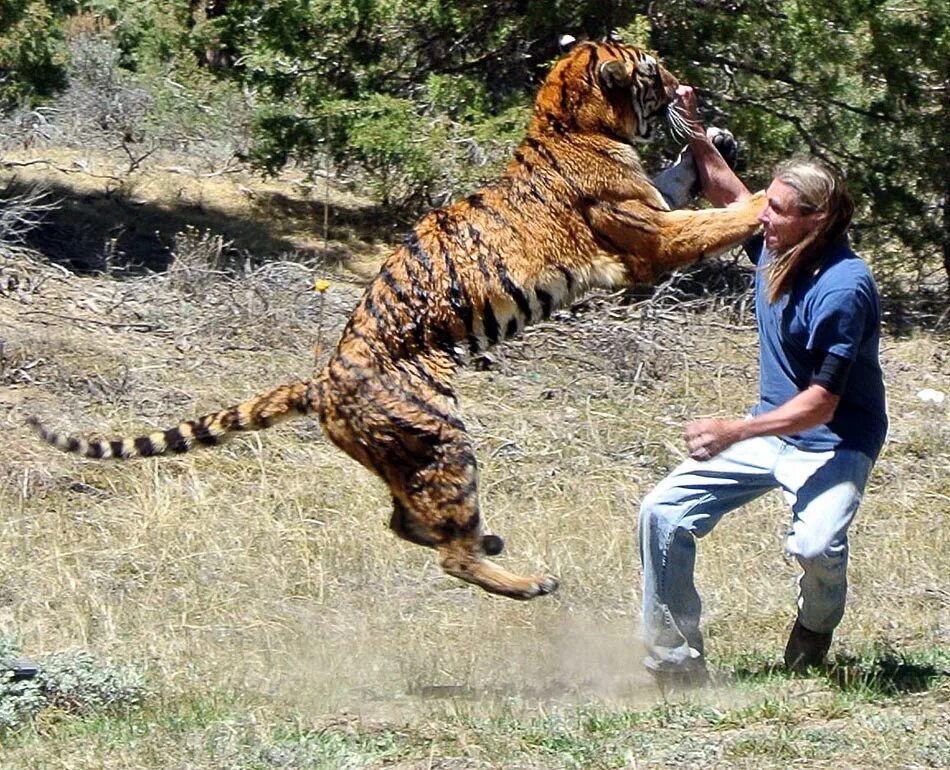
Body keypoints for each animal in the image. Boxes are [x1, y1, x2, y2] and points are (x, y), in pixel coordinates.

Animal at [31, 42, 768, 600]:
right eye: (653, 70)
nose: (686, 84)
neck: (568, 119)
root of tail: (320, 382)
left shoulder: (656, 209)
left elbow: (682, 182)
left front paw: (718, 143)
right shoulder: (651, 241)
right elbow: (714, 220)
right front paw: (771, 197)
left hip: (406, 455)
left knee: (406, 523)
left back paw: (487, 539)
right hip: (443, 438)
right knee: (447, 551)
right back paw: (527, 581)